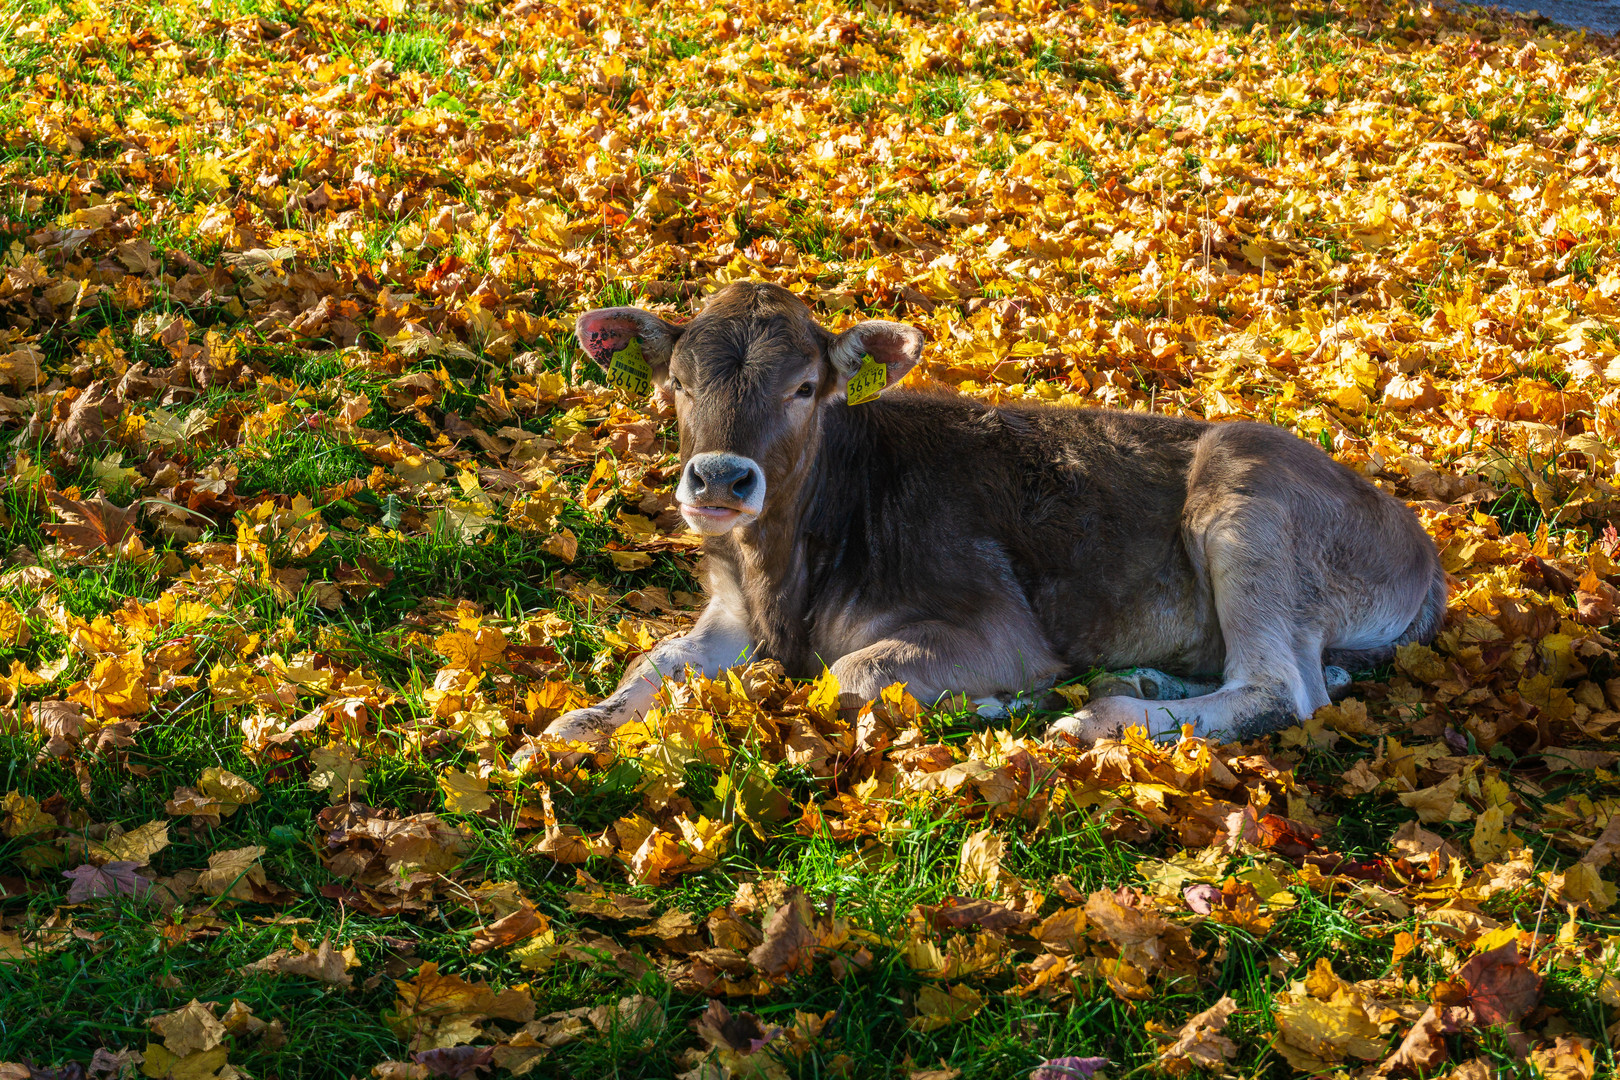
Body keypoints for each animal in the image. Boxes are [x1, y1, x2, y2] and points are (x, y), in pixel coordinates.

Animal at [524, 283, 1451, 748]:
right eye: (677, 384)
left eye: (805, 387)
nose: (720, 478)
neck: (784, 578)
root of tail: (1422, 544)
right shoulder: (726, 616)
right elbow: (650, 666)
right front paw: (568, 728)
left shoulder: (998, 624)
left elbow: (853, 674)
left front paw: (997, 704)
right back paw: (1144, 683)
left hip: (1248, 502)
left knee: (1282, 690)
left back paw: (1098, 716)